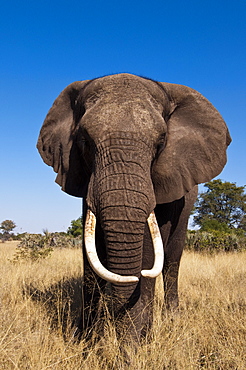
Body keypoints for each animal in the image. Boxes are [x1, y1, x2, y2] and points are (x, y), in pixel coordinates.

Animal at [36, 73, 231, 344]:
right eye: (84, 141)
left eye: (161, 142)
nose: (122, 347)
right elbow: (91, 250)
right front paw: (84, 339)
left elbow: (149, 251)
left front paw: (138, 341)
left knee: (172, 259)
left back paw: (172, 317)